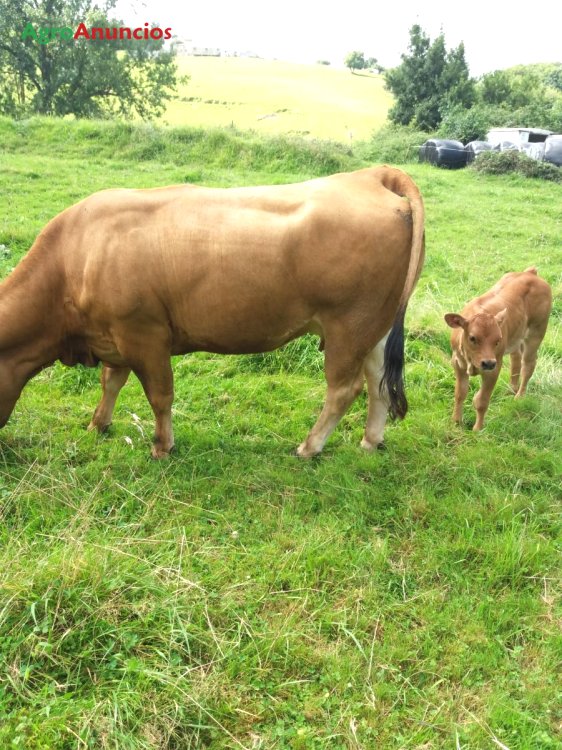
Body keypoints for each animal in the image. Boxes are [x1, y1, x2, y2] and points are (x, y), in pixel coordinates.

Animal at [0, 165, 420, 458]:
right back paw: (370, 441)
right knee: (378, 381)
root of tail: (372, 175)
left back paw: (310, 447)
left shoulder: (144, 334)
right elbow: (111, 381)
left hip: (348, 326)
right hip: (375, 328)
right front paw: (97, 425)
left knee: (344, 389)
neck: (75, 258)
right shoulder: (115, 336)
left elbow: (160, 394)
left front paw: (162, 446)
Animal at [444, 268, 548, 434]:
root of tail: (530, 273)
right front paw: (456, 422)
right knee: (516, 358)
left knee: (528, 364)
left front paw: (477, 430)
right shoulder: (457, 363)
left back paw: (519, 396)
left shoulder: (494, 368)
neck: (471, 362)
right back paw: (511, 388)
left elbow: (481, 401)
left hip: (536, 333)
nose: (487, 363)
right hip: (516, 337)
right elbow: (460, 393)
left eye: (497, 340)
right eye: (472, 338)